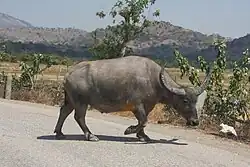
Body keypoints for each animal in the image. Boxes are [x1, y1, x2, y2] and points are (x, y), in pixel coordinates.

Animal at [53, 55, 211, 142]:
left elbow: (144, 122)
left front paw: (143, 136)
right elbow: (143, 121)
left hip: (71, 100)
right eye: (185, 101)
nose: (195, 122)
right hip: (81, 101)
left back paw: (59, 133)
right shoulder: (137, 106)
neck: (154, 80)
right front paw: (129, 130)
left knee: (64, 111)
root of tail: (68, 74)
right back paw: (90, 135)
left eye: (196, 101)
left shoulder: (147, 107)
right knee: (79, 117)